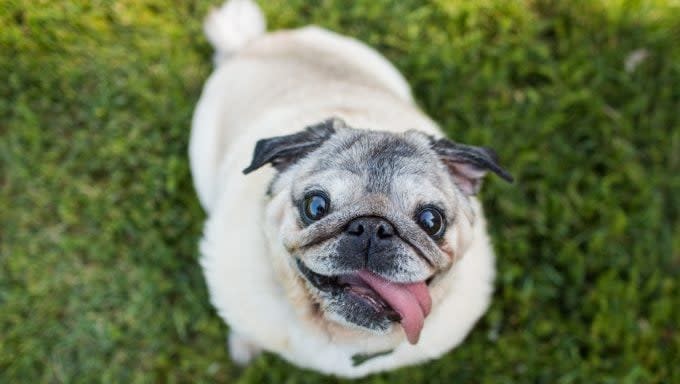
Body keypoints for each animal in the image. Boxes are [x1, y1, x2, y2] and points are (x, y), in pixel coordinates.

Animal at [189, 0, 512, 378]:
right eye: (315, 207)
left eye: (431, 221)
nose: (372, 227)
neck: (346, 335)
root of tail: (252, 43)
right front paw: (245, 346)